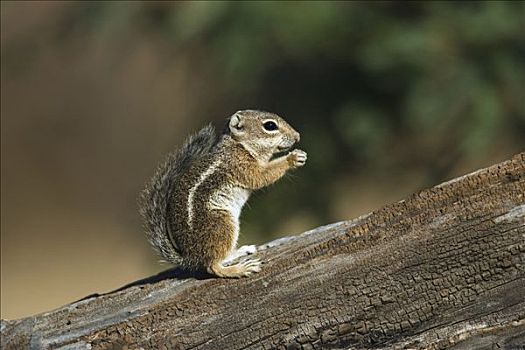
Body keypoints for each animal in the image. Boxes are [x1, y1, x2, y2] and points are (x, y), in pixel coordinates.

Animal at [138, 110, 308, 278]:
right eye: (270, 126)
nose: (298, 136)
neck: (237, 146)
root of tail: (190, 257)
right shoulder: (242, 166)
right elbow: (263, 176)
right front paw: (292, 158)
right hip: (222, 222)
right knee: (212, 267)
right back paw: (240, 268)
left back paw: (240, 251)